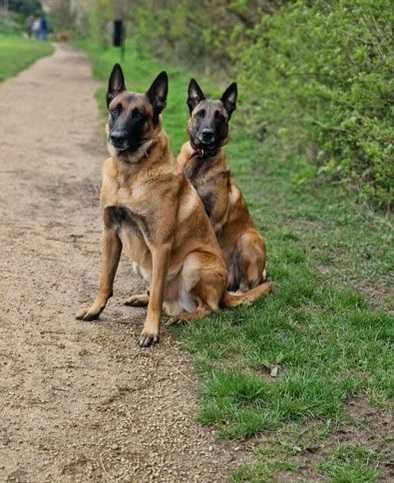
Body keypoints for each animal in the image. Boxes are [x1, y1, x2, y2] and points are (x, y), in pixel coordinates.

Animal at [178, 79, 268, 292]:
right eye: (200, 114)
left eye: (220, 117)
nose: (207, 134)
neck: (200, 158)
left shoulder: (213, 221)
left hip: (248, 239)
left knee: (246, 286)